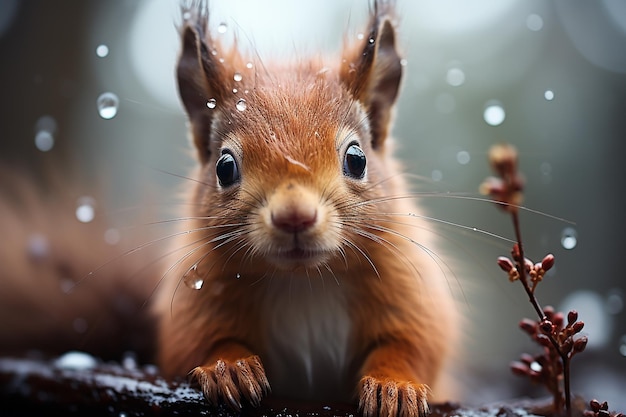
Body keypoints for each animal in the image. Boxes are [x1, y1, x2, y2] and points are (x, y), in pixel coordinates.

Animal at [154, 1, 456, 414]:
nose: (294, 216)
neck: (304, 280)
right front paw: (228, 367)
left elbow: (409, 346)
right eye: (224, 167)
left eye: (357, 160)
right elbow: (199, 343)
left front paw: (394, 386)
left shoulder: (411, 292)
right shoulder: (194, 300)